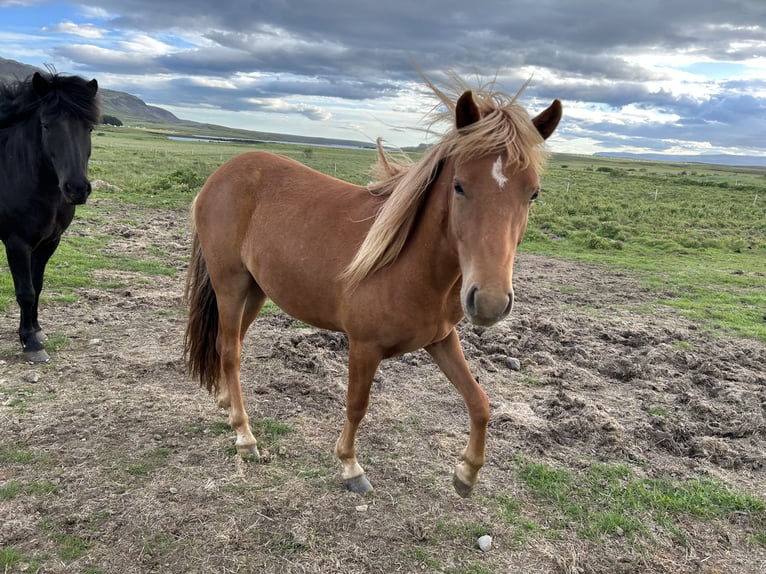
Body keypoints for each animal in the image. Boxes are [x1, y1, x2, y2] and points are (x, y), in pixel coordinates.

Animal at [0, 71, 100, 360]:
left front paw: (36, 329)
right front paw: (31, 343)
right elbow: (26, 291)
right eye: (46, 126)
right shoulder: (17, 244)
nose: (76, 189)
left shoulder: (50, 242)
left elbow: (38, 285)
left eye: (89, 128)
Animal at [183, 77, 560, 500]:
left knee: (228, 344)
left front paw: (467, 472)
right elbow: (356, 404)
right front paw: (350, 466)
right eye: (460, 186)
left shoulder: (440, 339)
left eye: (533, 193)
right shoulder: (364, 347)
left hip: (255, 290)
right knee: (231, 351)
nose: (491, 302)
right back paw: (245, 436)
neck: (413, 265)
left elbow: (479, 401)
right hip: (229, 284)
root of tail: (221, 174)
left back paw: (226, 404)